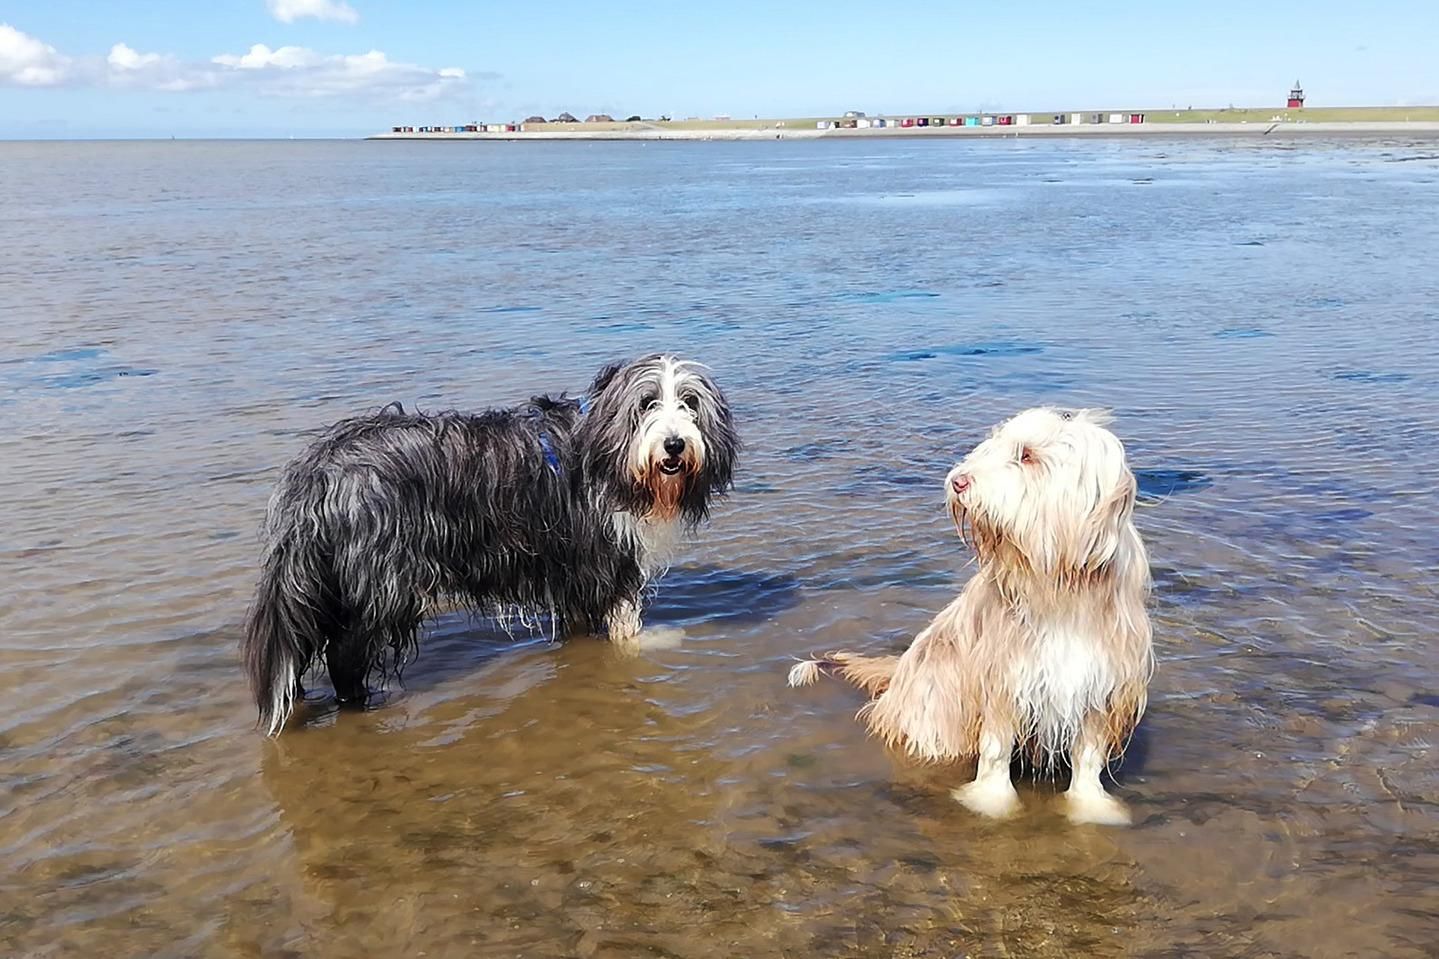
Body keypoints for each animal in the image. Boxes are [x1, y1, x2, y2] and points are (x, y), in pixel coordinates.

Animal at [242, 354, 738, 736]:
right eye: (647, 402)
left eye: (690, 403)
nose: (674, 445)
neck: (604, 450)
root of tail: (317, 470)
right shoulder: (605, 564)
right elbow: (625, 630)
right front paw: (655, 642)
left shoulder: (570, 575)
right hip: (378, 585)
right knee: (344, 657)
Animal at [789, 408, 1152, 825]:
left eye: (1027, 455)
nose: (957, 481)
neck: (1058, 589)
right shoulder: (1002, 678)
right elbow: (995, 751)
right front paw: (992, 803)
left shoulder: (1101, 683)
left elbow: (1088, 758)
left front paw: (1091, 808)